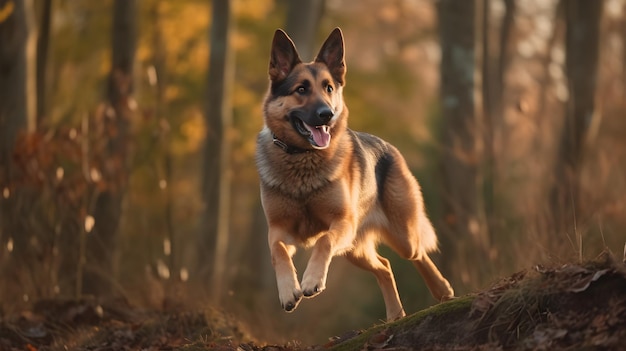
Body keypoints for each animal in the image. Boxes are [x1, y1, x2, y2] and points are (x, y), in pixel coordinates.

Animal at [254, 27, 454, 322]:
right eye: (301, 89)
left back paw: (441, 289)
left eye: (329, 88)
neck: (303, 159)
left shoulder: (341, 223)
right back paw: (396, 314)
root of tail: (389, 147)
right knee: (384, 266)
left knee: (417, 253)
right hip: (353, 249)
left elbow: (323, 241)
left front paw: (311, 280)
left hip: (398, 235)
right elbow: (277, 252)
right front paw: (288, 290)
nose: (327, 114)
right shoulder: (278, 230)